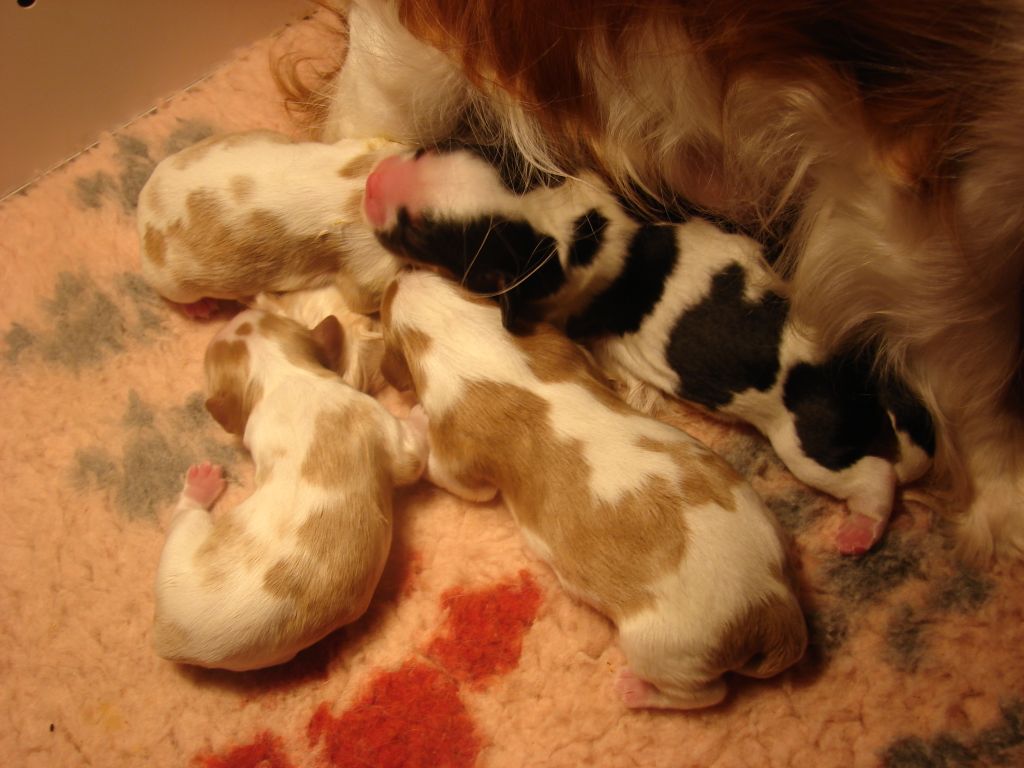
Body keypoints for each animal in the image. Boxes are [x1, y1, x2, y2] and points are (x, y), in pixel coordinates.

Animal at [135, 131, 403, 317]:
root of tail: (144, 202)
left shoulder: (360, 145)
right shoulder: (369, 264)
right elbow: (364, 298)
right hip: (172, 283)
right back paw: (200, 307)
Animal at [151, 309, 428, 671]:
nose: (241, 312)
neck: (280, 374)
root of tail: (168, 640)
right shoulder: (377, 420)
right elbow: (412, 455)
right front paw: (421, 411)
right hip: (183, 542)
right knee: (185, 514)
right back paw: (201, 484)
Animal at [368, 147, 937, 557]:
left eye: (418, 233)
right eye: (428, 149)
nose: (374, 181)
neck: (559, 222)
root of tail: (863, 370)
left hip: (808, 441)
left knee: (872, 474)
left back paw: (861, 529)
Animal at [380, 272, 802, 716]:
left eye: (383, 308)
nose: (400, 275)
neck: (462, 328)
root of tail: (773, 606)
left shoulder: (457, 450)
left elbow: (451, 475)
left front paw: (416, 420)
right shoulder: (556, 344)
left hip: (664, 649)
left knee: (705, 694)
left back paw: (634, 690)